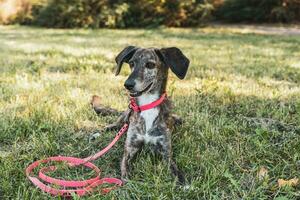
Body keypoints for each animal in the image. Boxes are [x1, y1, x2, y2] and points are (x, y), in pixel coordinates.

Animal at [90, 46, 191, 184]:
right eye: (131, 63)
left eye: (150, 65)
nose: (127, 84)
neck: (147, 105)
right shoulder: (130, 149)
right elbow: (126, 176)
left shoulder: (166, 153)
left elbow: (174, 168)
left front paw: (184, 182)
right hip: (125, 117)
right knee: (114, 125)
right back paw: (97, 134)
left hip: (179, 119)